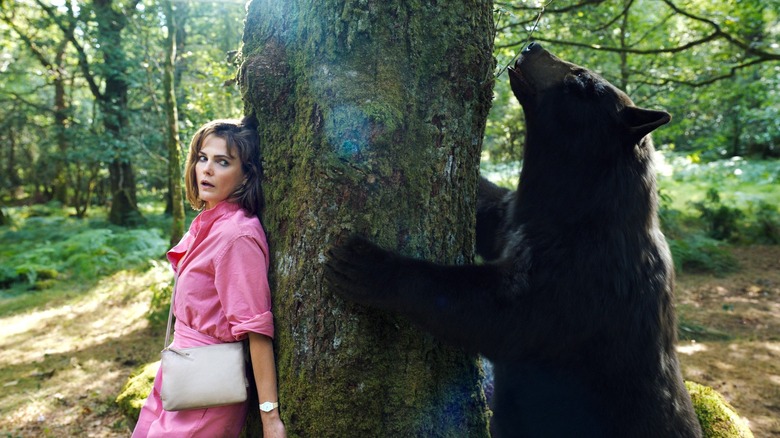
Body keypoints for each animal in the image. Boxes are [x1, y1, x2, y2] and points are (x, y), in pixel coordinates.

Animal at [322, 42, 700, 438]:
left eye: (581, 81)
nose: (534, 46)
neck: (577, 209)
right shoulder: (516, 218)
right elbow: (490, 211)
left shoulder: (584, 277)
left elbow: (498, 313)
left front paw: (367, 266)